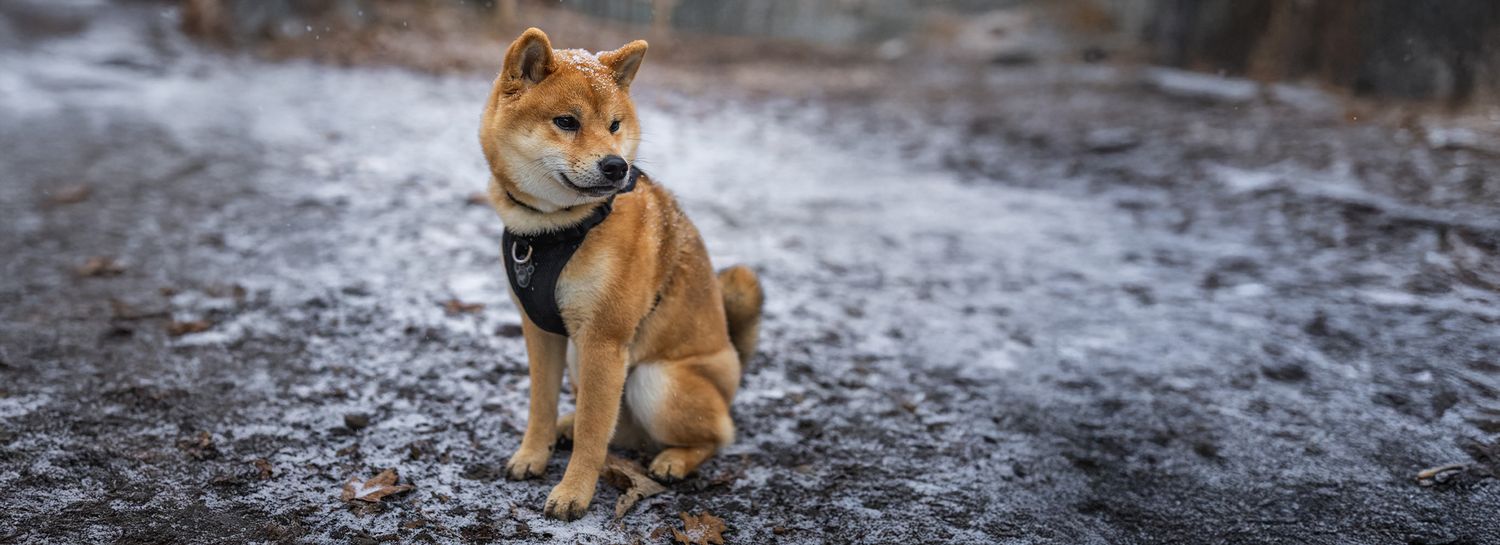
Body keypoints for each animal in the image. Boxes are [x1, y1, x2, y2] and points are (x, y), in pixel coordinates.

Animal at [478, 28, 764, 521]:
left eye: (614, 125)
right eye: (566, 122)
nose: (617, 166)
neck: (556, 229)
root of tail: (732, 371)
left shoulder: (604, 340)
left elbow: (595, 435)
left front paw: (574, 492)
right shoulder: (541, 331)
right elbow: (541, 404)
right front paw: (532, 455)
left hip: (655, 381)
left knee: (713, 437)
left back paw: (673, 460)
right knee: (616, 426)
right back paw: (568, 424)